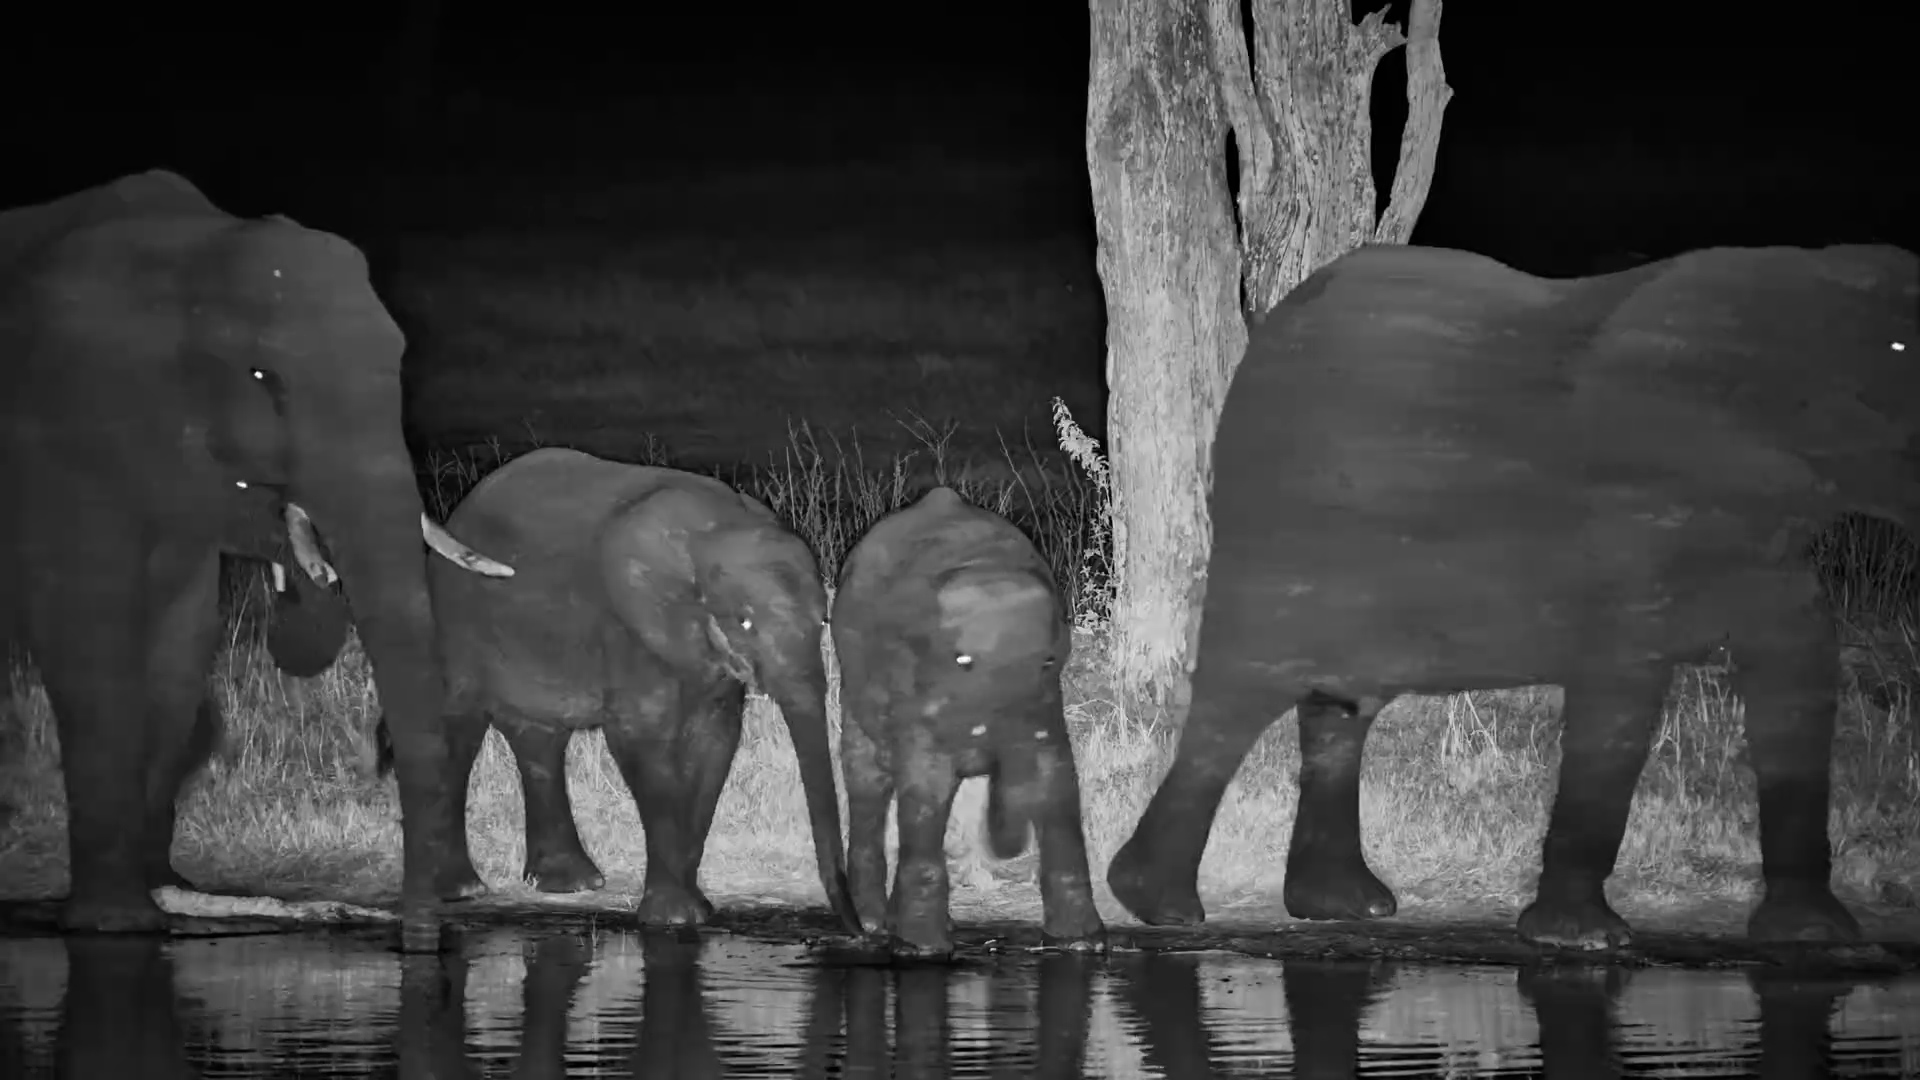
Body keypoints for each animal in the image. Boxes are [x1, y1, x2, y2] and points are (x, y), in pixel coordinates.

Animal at [0, 170, 515, 949]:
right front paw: (114, 927)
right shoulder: (66, 430)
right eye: (261, 375)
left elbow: (178, 646)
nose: (420, 935)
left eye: (395, 363)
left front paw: (150, 905)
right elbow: (89, 635)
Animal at [373, 446, 857, 929]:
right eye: (745, 622)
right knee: (461, 728)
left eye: (823, 621)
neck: (711, 534)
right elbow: (641, 741)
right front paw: (674, 918)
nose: (856, 928)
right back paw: (461, 890)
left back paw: (570, 884)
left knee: (539, 739)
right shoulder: (627, 630)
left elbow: (715, 741)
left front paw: (695, 911)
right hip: (456, 617)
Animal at [831, 486, 1105, 956]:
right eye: (963, 662)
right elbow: (924, 791)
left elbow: (1058, 783)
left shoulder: (1046, 703)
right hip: (855, 684)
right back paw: (872, 925)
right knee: (867, 781)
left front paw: (1082, 944)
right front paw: (921, 948)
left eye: (1050, 660)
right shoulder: (915, 696)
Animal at [1105, 241, 1920, 950]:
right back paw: (1162, 906)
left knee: (1340, 705)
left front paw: (1817, 935)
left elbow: (1798, 667)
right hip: (1280, 529)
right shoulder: (1636, 506)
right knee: (1243, 692)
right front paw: (1583, 938)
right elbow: (1621, 685)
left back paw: (1343, 905)